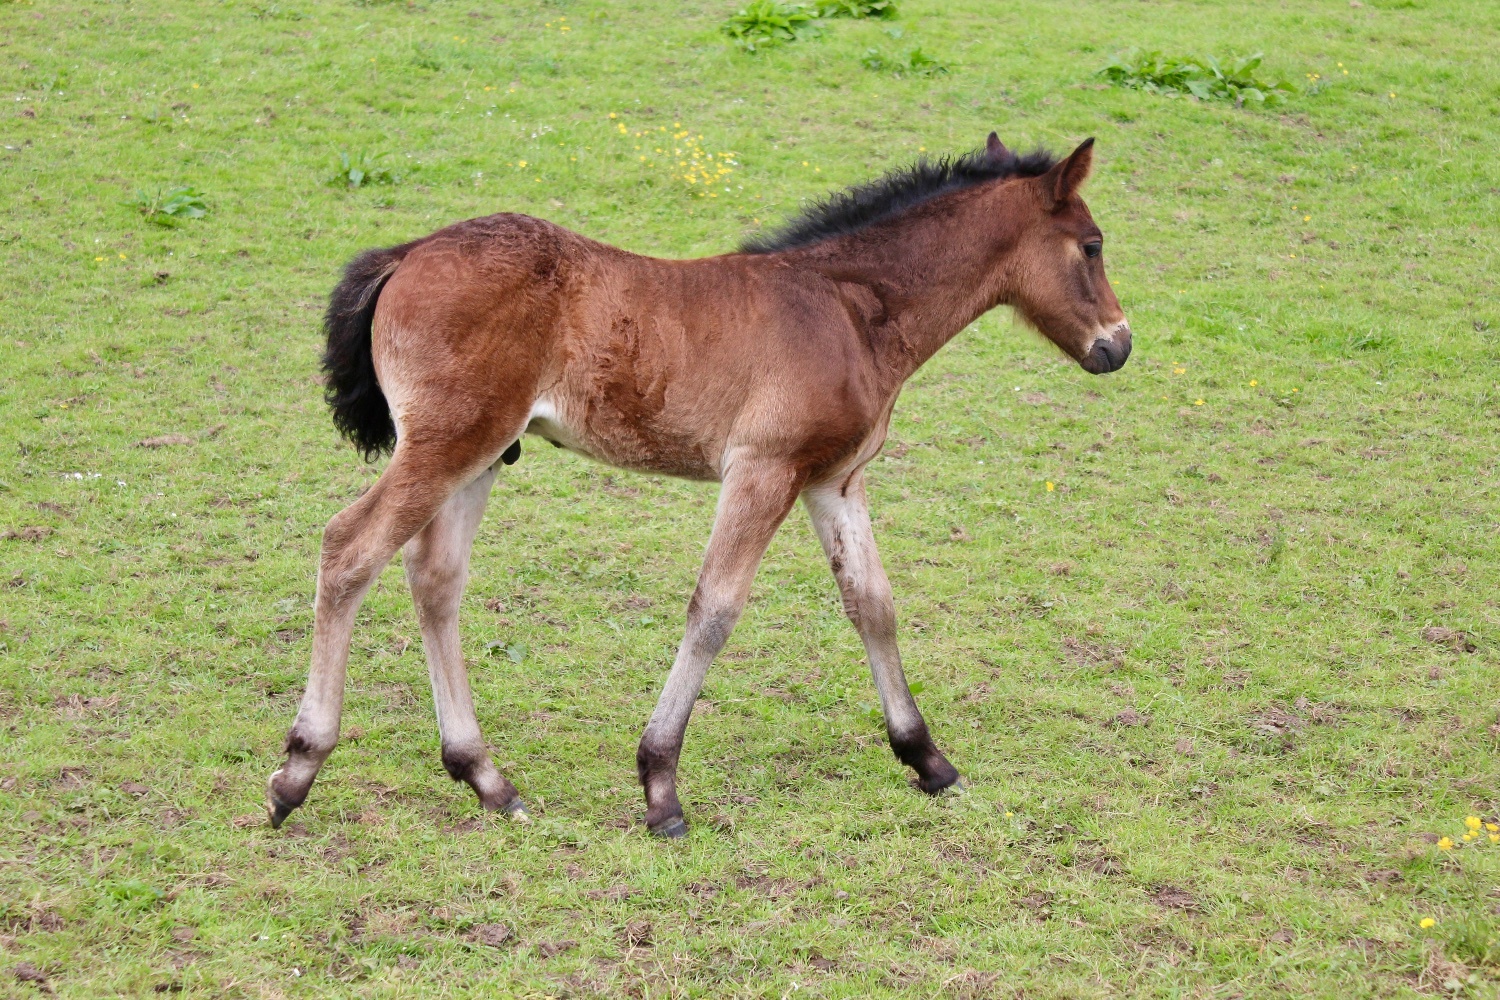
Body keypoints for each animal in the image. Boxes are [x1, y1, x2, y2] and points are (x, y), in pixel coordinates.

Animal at [266, 132, 1131, 838]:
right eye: (1091, 245)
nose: (1117, 347)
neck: (847, 308)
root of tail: (408, 253)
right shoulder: (763, 469)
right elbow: (714, 609)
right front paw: (660, 789)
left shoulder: (834, 480)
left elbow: (873, 605)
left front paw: (927, 759)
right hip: (447, 444)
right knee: (350, 549)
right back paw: (298, 770)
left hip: (480, 455)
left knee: (435, 579)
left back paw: (486, 778)